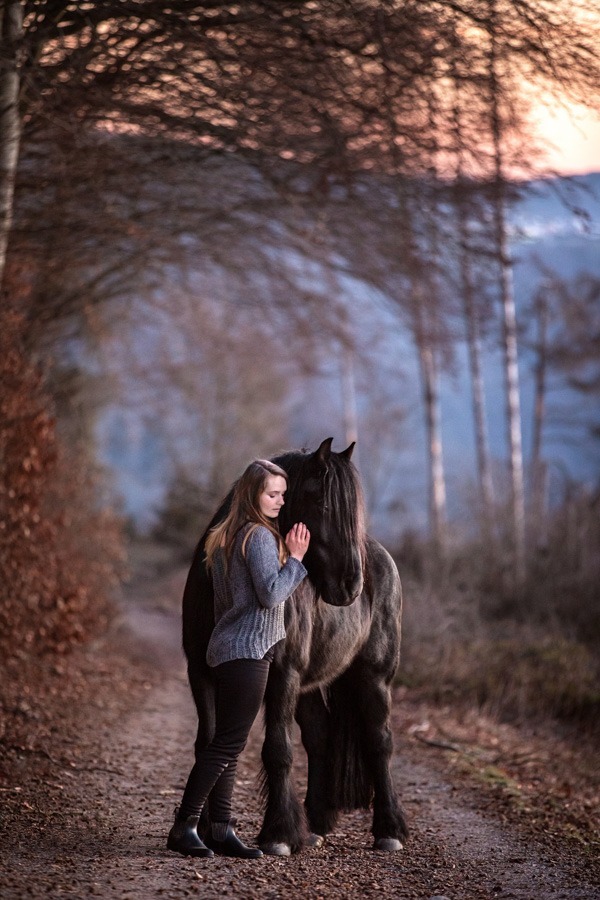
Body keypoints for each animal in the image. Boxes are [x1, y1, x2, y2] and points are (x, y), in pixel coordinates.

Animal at [183, 440, 408, 856]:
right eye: (321, 502)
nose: (351, 585)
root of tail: (382, 557)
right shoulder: (201, 672)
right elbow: (209, 745)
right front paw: (203, 830)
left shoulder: (283, 674)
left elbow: (278, 750)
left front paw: (278, 835)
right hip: (310, 684)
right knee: (319, 739)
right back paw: (316, 824)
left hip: (374, 678)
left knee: (379, 741)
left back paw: (389, 830)